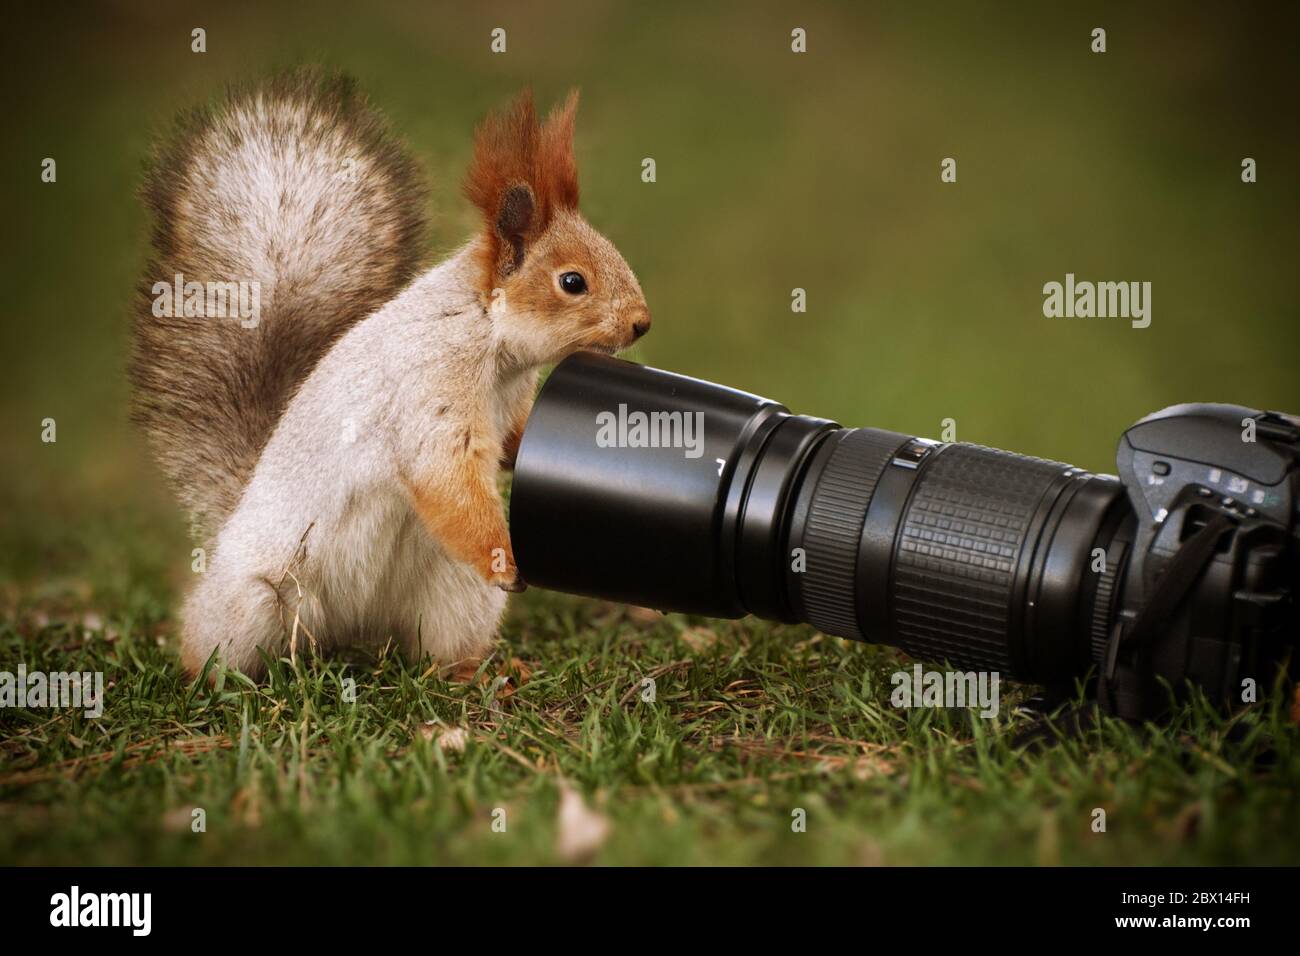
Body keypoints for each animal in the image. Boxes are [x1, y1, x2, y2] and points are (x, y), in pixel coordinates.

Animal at [131, 69, 650, 681]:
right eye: (572, 282)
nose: (641, 323)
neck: (490, 341)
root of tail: (353, 627)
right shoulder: (430, 382)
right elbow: (443, 470)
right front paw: (505, 560)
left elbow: (508, 443)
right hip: (254, 601)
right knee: (221, 646)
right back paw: (223, 679)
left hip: (454, 593)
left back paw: (481, 675)